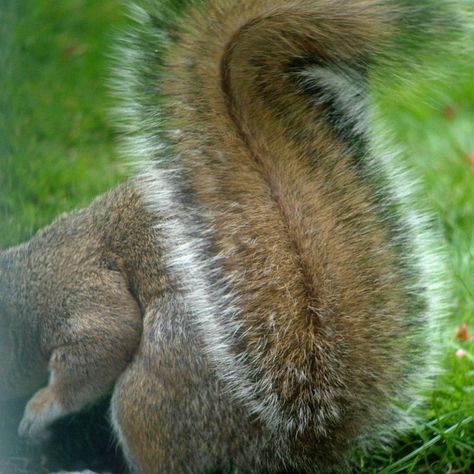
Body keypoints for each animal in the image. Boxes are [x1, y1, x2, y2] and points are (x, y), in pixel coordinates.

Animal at [0, 0, 462, 472]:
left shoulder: (79, 290)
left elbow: (102, 344)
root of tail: (308, 438)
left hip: (158, 395)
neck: (26, 279)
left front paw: (41, 408)